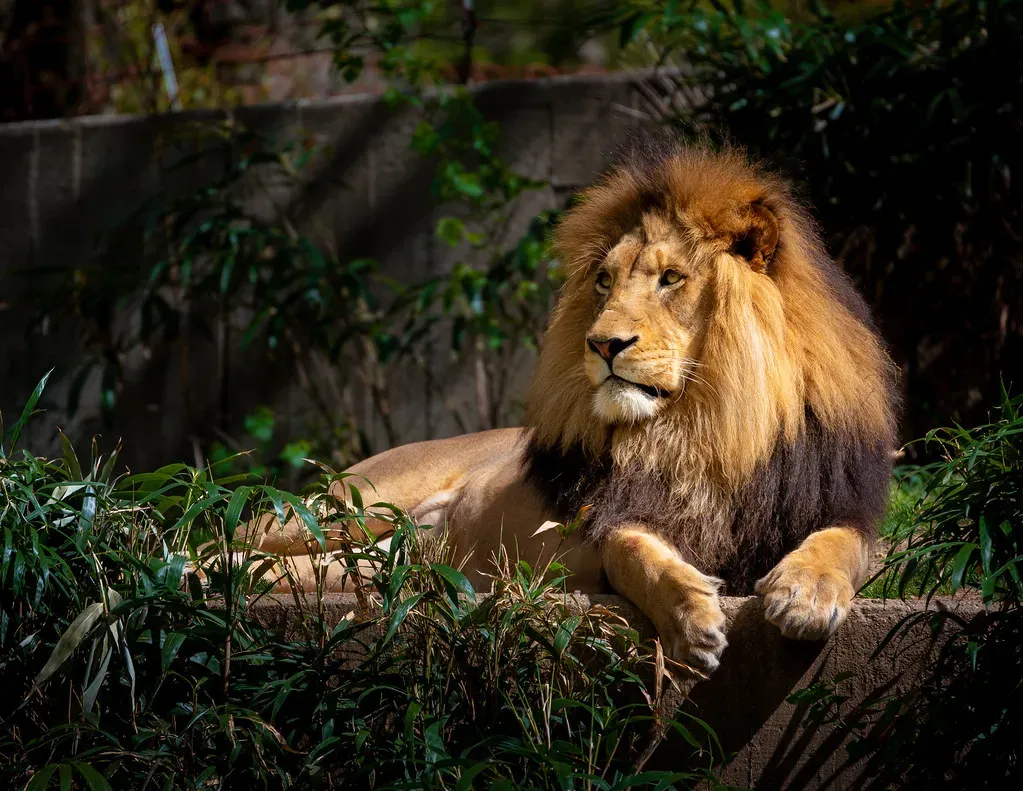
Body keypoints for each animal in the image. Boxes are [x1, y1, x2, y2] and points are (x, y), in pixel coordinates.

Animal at [244, 140, 899, 673]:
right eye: (605, 282)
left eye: (670, 278)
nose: (603, 343)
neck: (706, 427)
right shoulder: (598, 526)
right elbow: (634, 550)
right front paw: (692, 620)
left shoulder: (841, 504)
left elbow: (842, 542)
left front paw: (806, 594)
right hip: (343, 508)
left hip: (358, 557)